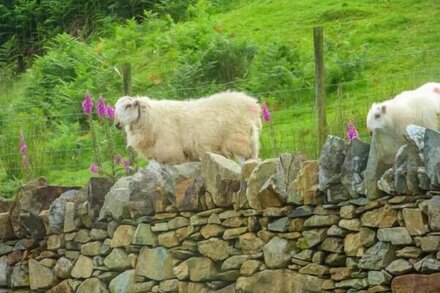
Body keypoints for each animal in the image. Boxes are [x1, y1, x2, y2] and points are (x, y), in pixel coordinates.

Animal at [113, 91, 262, 164]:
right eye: (115, 107)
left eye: (128, 106)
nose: (117, 124)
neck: (152, 116)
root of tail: (251, 104)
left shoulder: (171, 154)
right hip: (251, 142)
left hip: (237, 141)